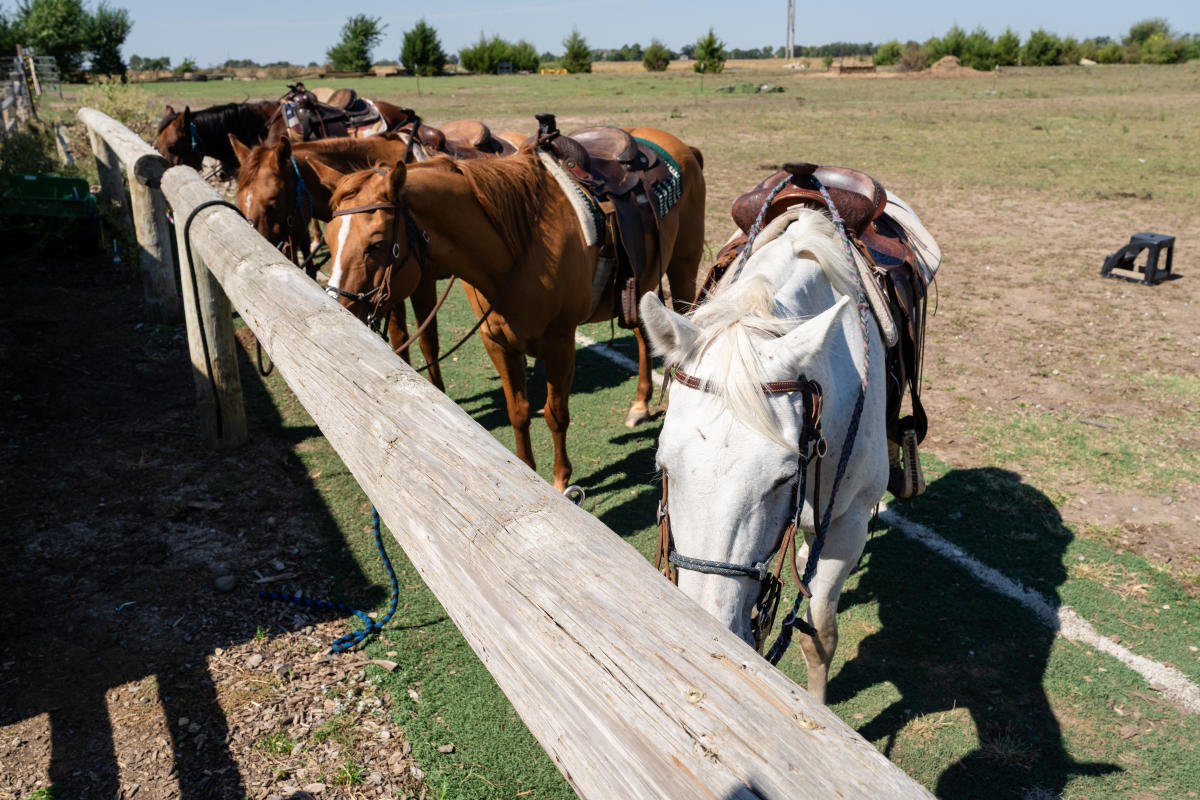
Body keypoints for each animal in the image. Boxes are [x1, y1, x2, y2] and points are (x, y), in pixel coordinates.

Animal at [313, 130, 706, 491]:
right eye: (329, 236)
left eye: (377, 244)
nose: (339, 310)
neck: (518, 248)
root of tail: (683, 146)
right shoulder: (497, 341)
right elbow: (518, 412)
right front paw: (528, 471)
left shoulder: (561, 342)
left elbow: (555, 414)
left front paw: (561, 482)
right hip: (639, 283)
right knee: (642, 335)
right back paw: (640, 404)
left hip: (682, 269)